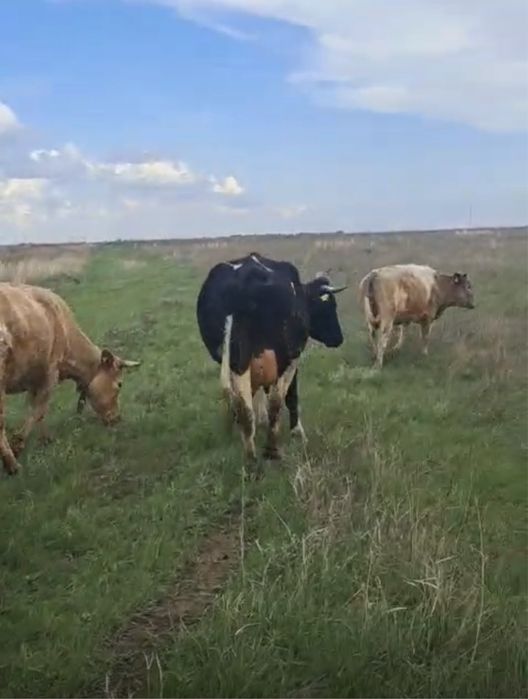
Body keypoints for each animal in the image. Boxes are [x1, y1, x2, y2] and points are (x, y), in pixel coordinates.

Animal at [0, 283, 140, 475]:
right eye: (119, 384)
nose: (117, 418)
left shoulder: (34, 380)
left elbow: (36, 410)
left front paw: (46, 439)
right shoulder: (50, 372)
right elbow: (39, 409)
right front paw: (18, 445)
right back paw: (12, 465)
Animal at [196, 252, 346, 468]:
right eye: (329, 306)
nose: (338, 338)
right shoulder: (291, 361)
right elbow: (290, 397)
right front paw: (297, 432)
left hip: (236, 360)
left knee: (243, 406)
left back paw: (250, 456)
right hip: (283, 358)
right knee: (274, 402)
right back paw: (271, 451)